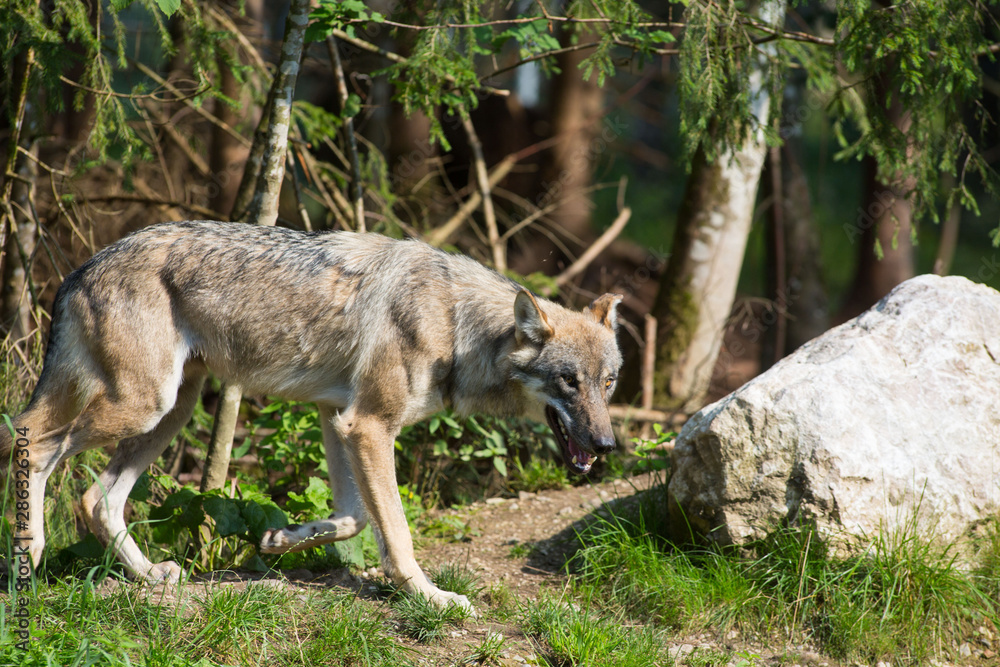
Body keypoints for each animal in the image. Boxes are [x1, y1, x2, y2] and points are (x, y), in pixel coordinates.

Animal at [1, 221, 622, 610]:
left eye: (608, 382)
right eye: (568, 382)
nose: (607, 445)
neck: (455, 322)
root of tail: (84, 266)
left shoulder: (337, 418)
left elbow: (354, 518)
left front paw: (282, 539)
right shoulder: (369, 426)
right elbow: (395, 532)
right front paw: (430, 597)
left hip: (171, 410)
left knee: (96, 498)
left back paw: (151, 575)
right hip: (142, 406)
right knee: (35, 442)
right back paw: (29, 554)